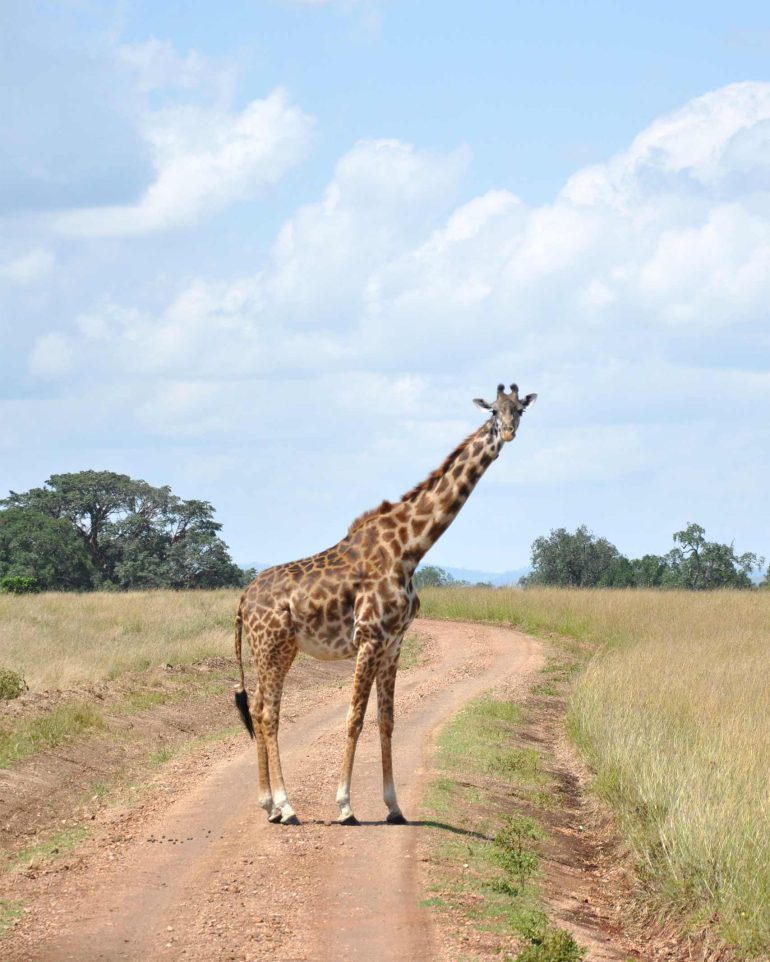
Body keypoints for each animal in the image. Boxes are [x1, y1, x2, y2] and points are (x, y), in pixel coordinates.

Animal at [234, 382, 537, 825]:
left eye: (520, 410)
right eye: (494, 411)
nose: (510, 433)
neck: (411, 549)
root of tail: (242, 599)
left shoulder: (394, 642)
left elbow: (387, 720)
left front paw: (394, 806)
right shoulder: (370, 637)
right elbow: (354, 718)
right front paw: (345, 806)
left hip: (275, 650)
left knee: (257, 710)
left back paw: (268, 805)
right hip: (272, 646)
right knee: (270, 714)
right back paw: (286, 807)